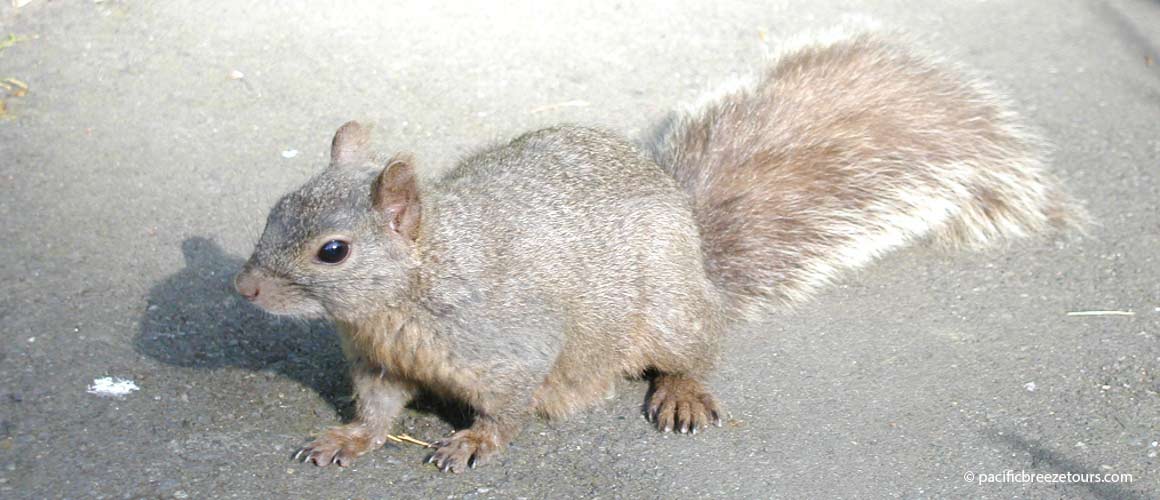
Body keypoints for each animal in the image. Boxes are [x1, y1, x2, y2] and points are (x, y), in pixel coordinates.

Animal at [233, 29, 1085, 473]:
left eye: (333, 251)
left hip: (671, 313)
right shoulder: (380, 359)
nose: (244, 290)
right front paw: (348, 438)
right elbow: (378, 408)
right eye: (275, 210)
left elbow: (507, 401)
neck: (411, 291)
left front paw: (474, 440)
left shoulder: (510, 338)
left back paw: (679, 391)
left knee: (697, 351)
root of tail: (693, 240)